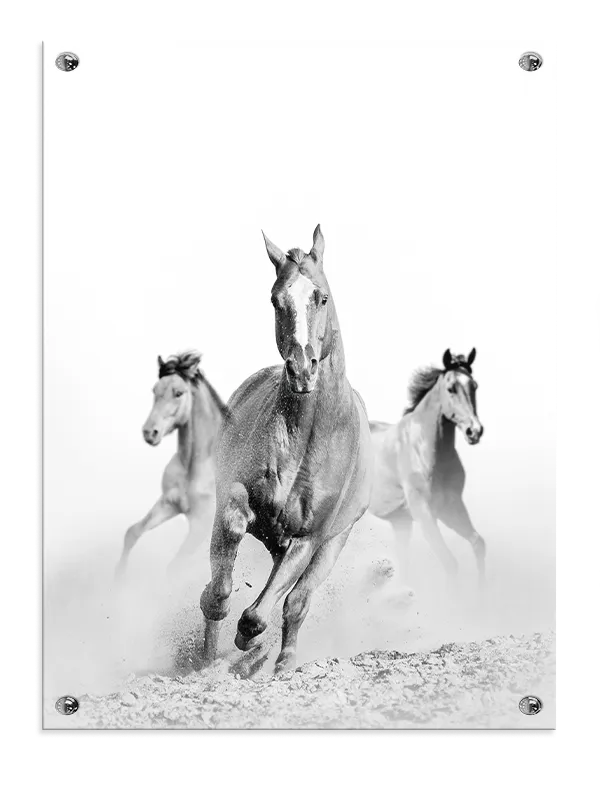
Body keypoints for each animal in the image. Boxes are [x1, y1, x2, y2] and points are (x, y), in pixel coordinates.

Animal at [115, 350, 229, 579]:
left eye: (178, 393)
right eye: (155, 390)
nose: (150, 432)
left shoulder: (202, 525)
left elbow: (175, 567)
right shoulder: (168, 503)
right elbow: (132, 533)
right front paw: (118, 579)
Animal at [199, 225, 372, 675]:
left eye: (322, 297)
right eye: (277, 300)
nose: (302, 368)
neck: (307, 439)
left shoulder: (308, 538)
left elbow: (262, 613)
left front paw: (249, 643)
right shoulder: (235, 500)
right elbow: (221, 586)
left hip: (333, 543)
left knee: (297, 602)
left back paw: (281, 662)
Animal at [368, 348, 486, 590]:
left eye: (475, 386)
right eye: (451, 388)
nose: (474, 431)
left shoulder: (450, 507)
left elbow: (478, 544)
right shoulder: (424, 512)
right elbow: (450, 563)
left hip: (401, 524)